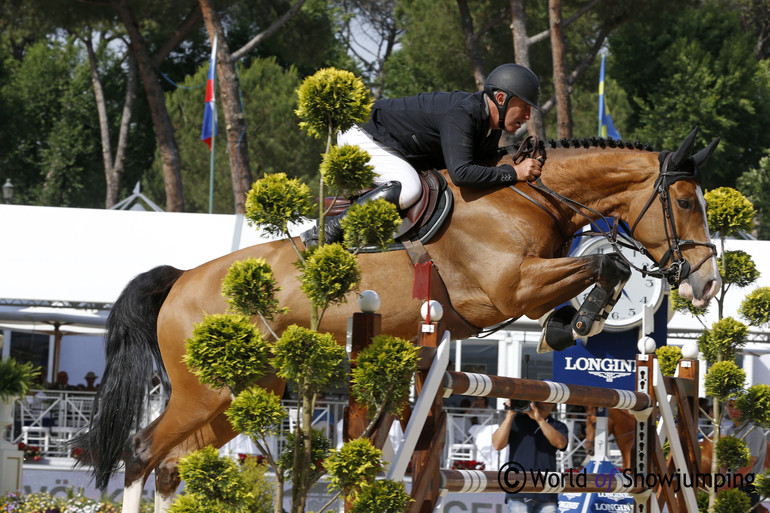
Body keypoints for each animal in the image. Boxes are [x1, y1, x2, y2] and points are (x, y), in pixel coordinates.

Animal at [73, 128, 720, 512]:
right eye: (686, 202)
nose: (706, 283)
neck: (526, 196)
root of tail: (181, 279)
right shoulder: (509, 288)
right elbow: (607, 260)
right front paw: (581, 320)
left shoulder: (525, 291)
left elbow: (594, 270)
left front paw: (573, 324)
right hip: (203, 392)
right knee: (141, 453)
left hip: (244, 392)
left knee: (172, 465)